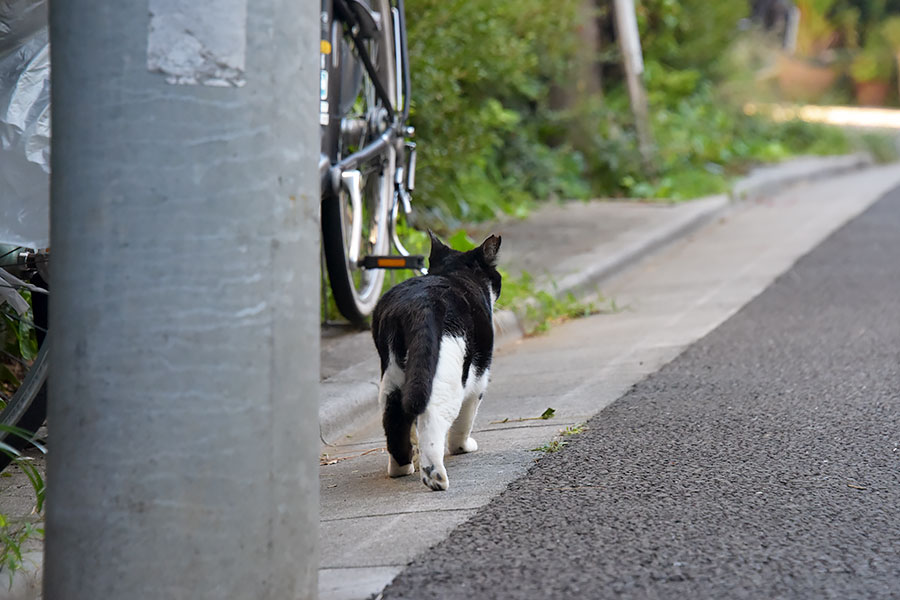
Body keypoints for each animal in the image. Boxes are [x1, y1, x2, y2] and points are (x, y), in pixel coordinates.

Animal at [370, 232, 500, 490]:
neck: (453, 272)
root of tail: (417, 304)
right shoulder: (479, 377)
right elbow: (466, 419)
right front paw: (462, 447)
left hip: (393, 375)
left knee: (394, 416)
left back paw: (401, 468)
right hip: (448, 379)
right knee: (433, 418)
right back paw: (434, 476)